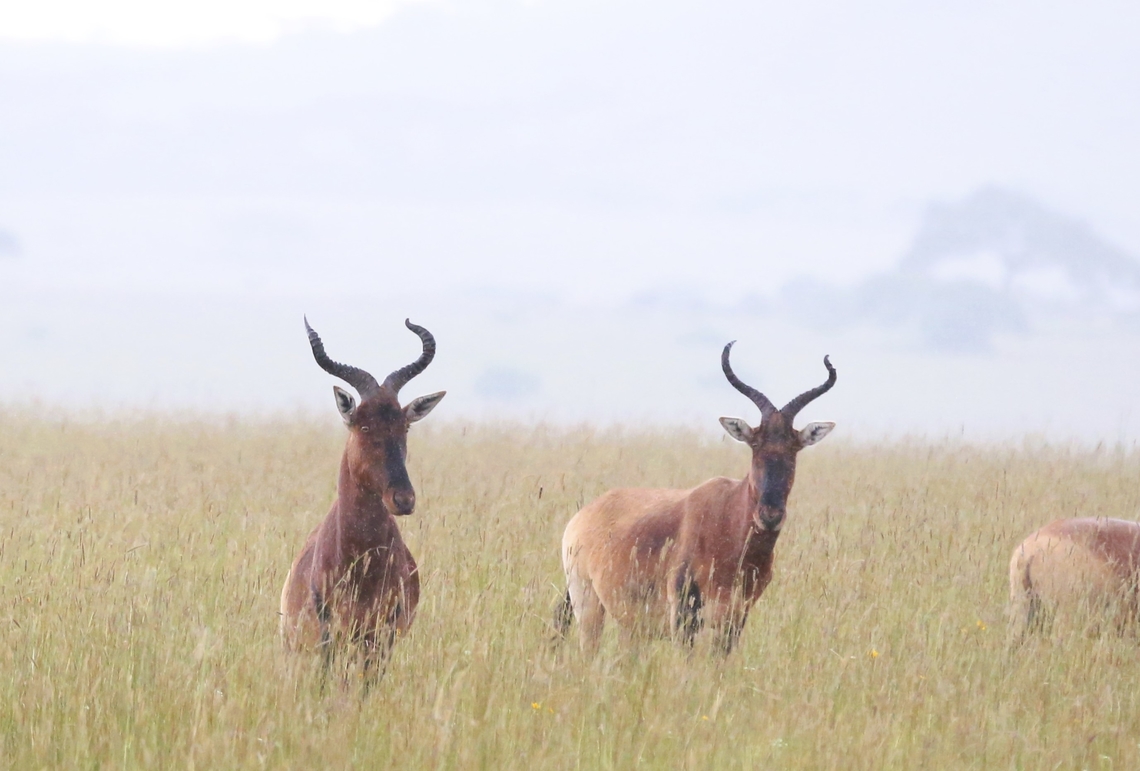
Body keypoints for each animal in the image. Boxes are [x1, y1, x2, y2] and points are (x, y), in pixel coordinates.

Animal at [555, 342, 837, 655]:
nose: (770, 515)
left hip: (630, 624)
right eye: (755, 446)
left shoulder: (734, 620)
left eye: (793, 449)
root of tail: (583, 515)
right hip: (587, 601)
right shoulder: (683, 614)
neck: (727, 521)